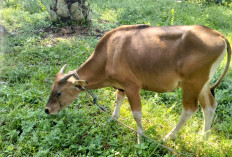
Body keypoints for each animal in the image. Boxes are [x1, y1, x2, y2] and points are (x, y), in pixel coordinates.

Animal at [44, 24, 230, 144]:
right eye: (51, 89)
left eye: (59, 92)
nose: (47, 110)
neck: (109, 54)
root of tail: (218, 35)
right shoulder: (121, 86)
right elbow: (118, 100)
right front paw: (112, 119)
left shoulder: (132, 87)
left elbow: (137, 114)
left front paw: (141, 138)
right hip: (203, 84)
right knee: (210, 106)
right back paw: (204, 138)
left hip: (191, 83)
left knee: (190, 109)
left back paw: (169, 137)